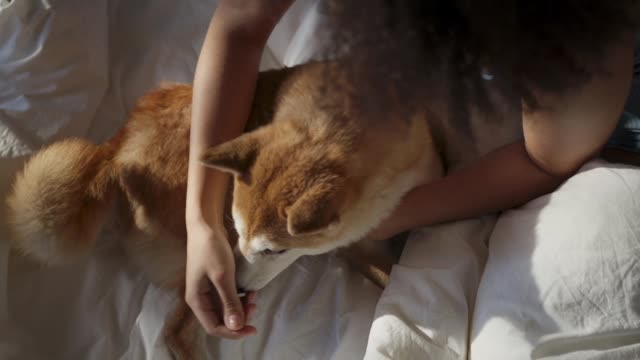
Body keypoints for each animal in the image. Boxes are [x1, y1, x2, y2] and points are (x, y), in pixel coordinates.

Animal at [3, 58, 520, 358]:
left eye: (274, 249)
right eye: (240, 233)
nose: (238, 284)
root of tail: (117, 152)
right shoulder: (354, 248)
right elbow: (391, 273)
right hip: (200, 251)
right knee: (175, 333)